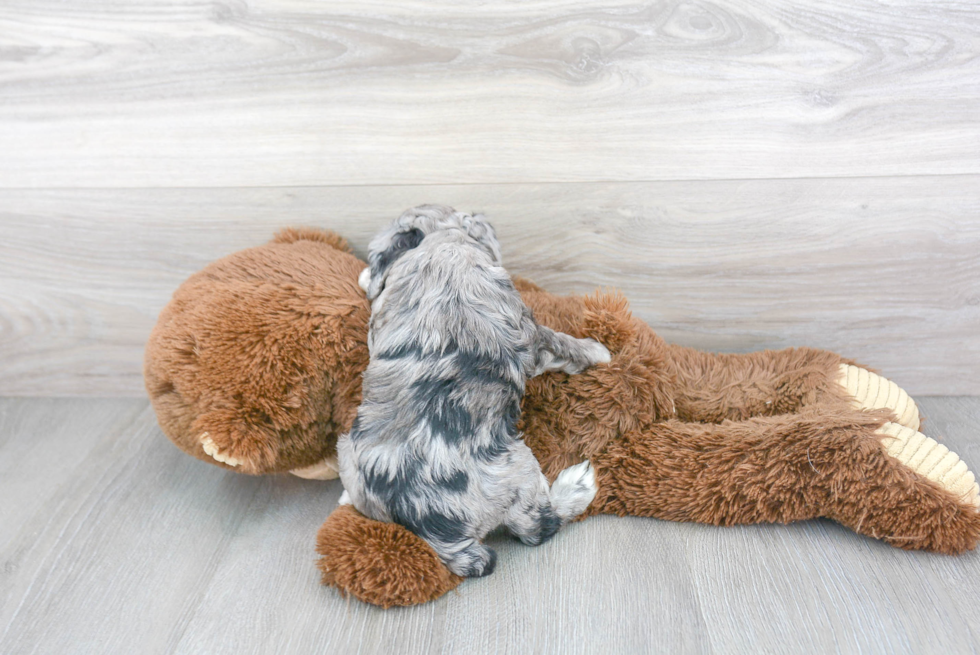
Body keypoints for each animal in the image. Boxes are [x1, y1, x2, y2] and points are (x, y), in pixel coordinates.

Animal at [338, 206, 612, 580]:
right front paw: (599, 351)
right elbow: (563, 344)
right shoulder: (532, 333)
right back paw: (577, 486)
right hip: (517, 472)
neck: (442, 241)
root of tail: (430, 529)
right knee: (538, 526)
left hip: (346, 453)